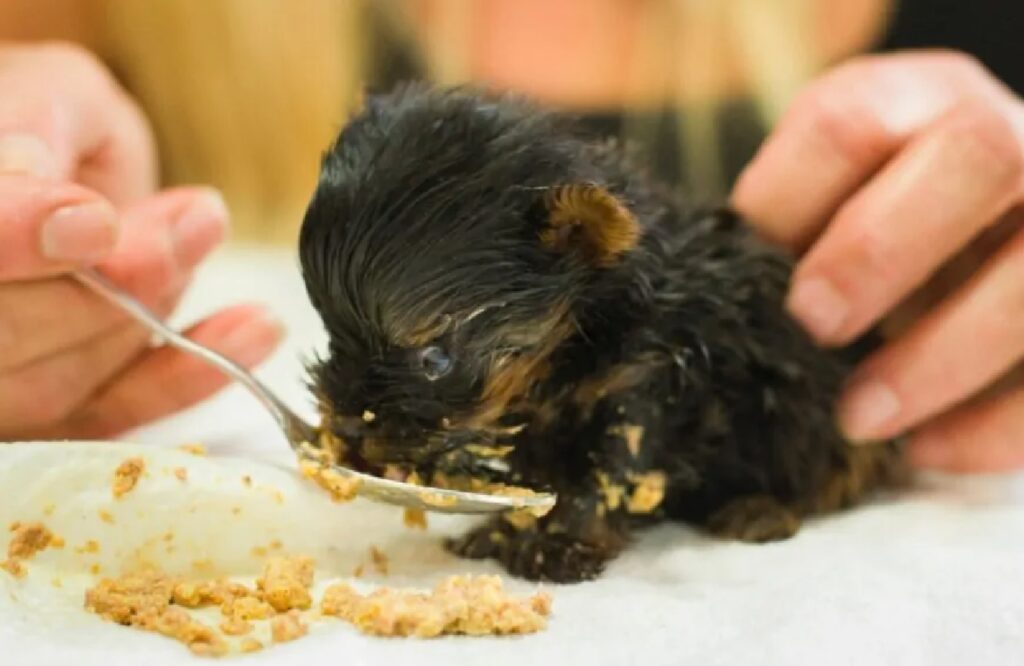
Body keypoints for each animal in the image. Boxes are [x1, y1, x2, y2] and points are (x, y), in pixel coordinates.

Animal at [299, 84, 909, 581]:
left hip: (825, 415)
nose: (347, 423)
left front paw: (561, 546)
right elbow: (540, 485)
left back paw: (761, 509)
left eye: (434, 359)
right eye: (331, 333)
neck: (575, 341)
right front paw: (506, 530)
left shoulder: (641, 386)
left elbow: (603, 479)